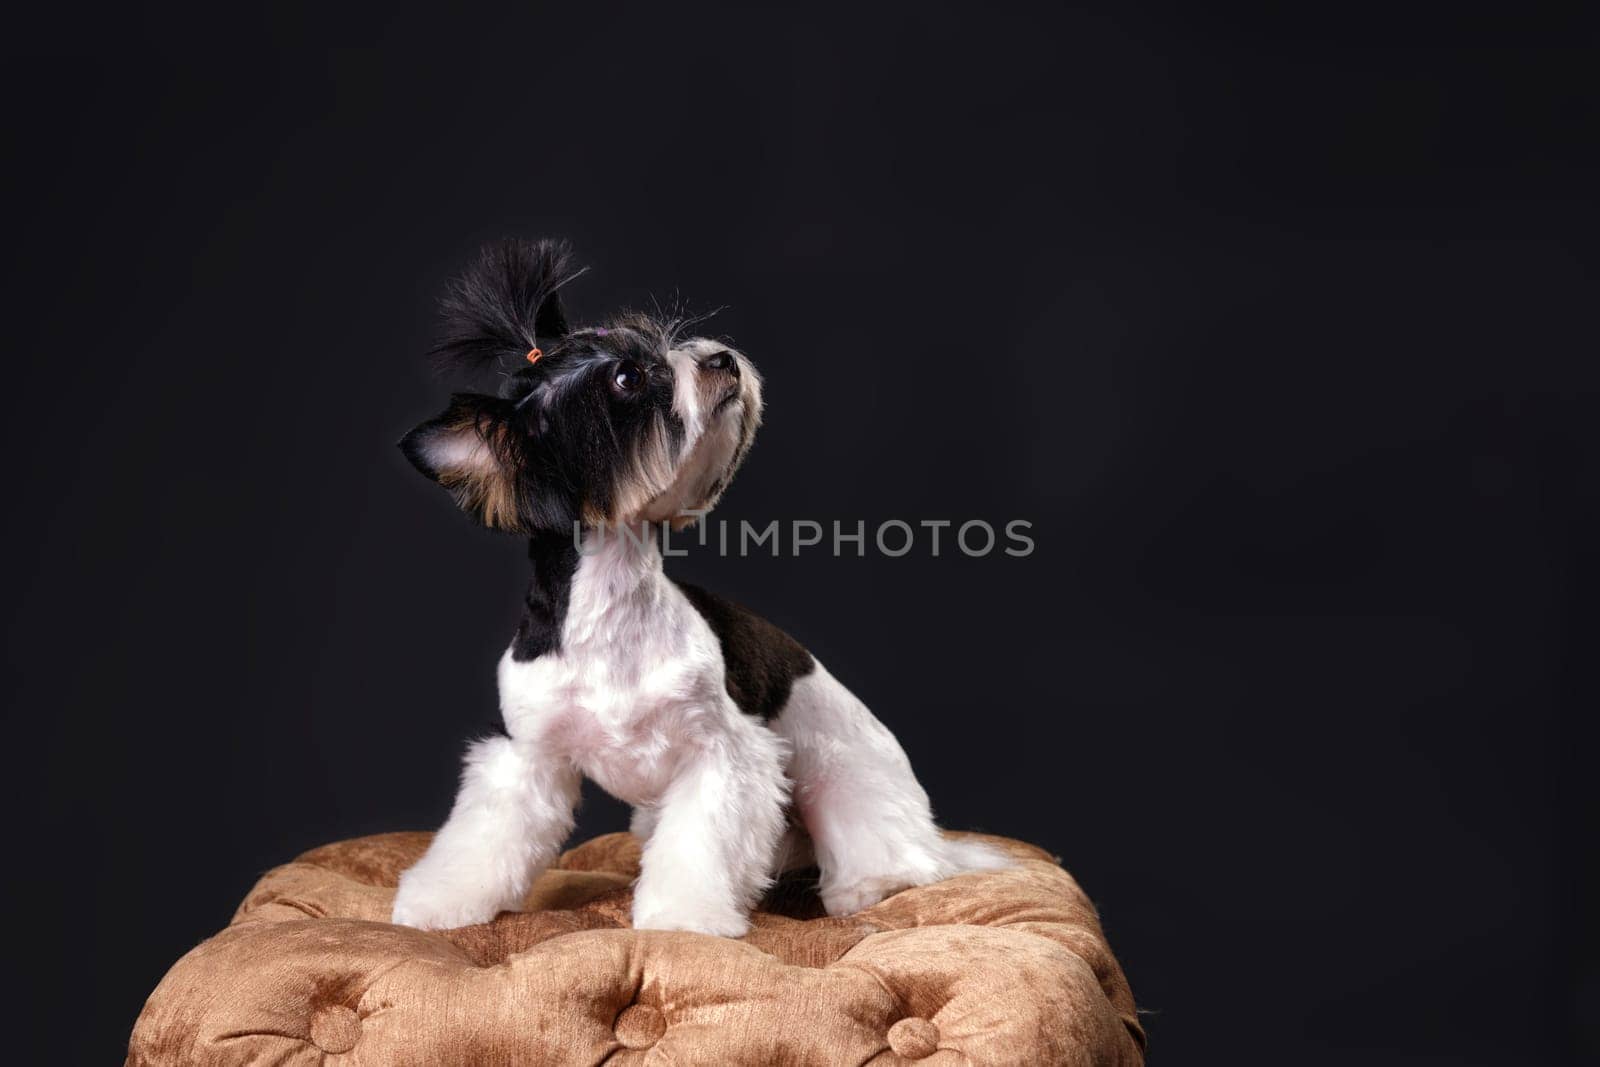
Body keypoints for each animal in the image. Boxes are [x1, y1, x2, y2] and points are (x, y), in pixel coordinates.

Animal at [388, 239, 1004, 934]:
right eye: (628, 378)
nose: (720, 358)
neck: (613, 604)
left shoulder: (723, 755)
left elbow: (698, 847)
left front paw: (684, 919)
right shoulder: (528, 755)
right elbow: (483, 834)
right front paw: (441, 899)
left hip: (844, 785)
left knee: (889, 855)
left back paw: (872, 886)